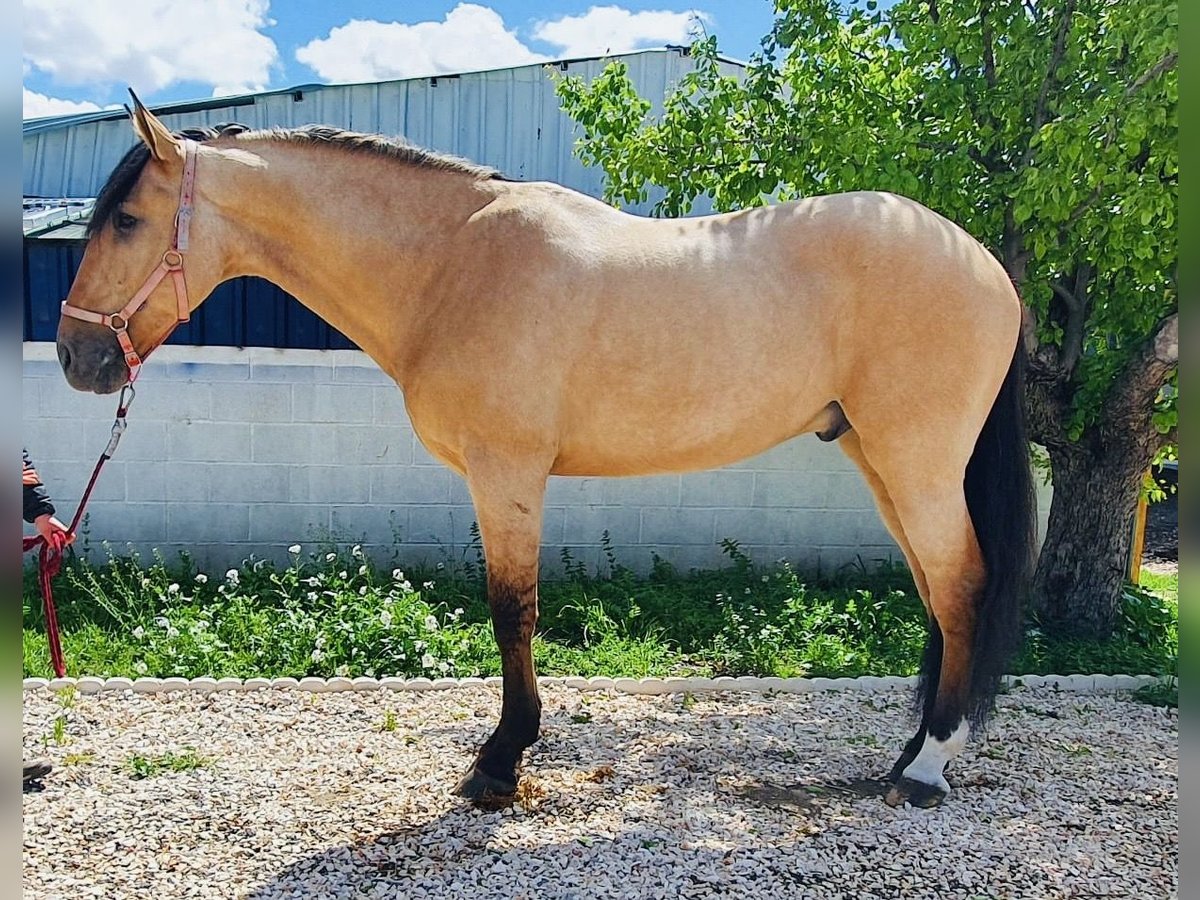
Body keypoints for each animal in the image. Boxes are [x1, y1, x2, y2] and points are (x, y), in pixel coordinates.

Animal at [54, 93, 1032, 811]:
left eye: (128, 221)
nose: (76, 357)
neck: (451, 264)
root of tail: (983, 261)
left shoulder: (507, 474)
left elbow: (511, 613)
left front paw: (500, 760)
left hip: (915, 462)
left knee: (961, 587)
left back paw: (927, 771)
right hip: (878, 460)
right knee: (938, 598)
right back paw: (910, 754)